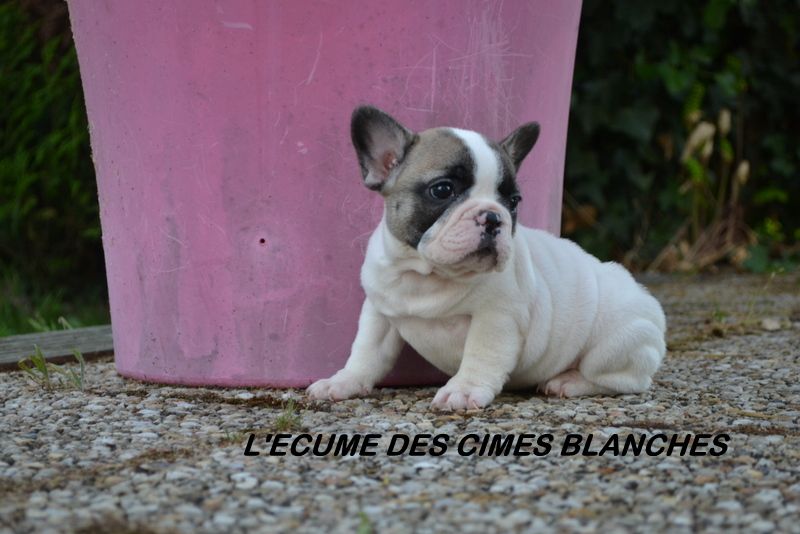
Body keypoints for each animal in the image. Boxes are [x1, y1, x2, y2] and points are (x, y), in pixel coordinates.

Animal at [307, 105, 666, 410]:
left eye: (513, 200)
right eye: (442, 190)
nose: (493, 217)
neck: (427, 275)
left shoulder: (496, 318)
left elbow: (481, 355)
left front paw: (463, 390)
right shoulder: (379, 312)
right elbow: (366, 351)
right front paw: (343, 382)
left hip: (616, 343)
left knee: (623, 380)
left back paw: (569, 381)